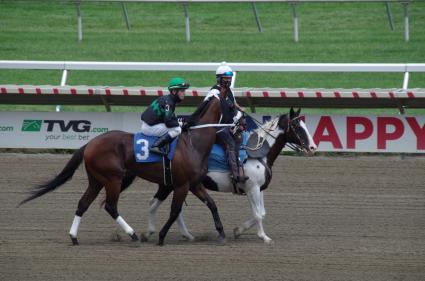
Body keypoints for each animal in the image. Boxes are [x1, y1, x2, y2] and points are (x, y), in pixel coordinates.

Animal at [19, 95, 225, 244]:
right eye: (230, 103)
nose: (235, 125)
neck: (193, 144)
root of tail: (90, 144)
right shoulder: (182, 184)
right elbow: (175, 211)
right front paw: (160, 237)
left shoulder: (193, 184)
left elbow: (212, 204)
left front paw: (221, 234)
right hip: (113, 179)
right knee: (110, 206)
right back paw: (132, 234)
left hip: (96, 180)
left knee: (83, 203)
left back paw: (74, 237)